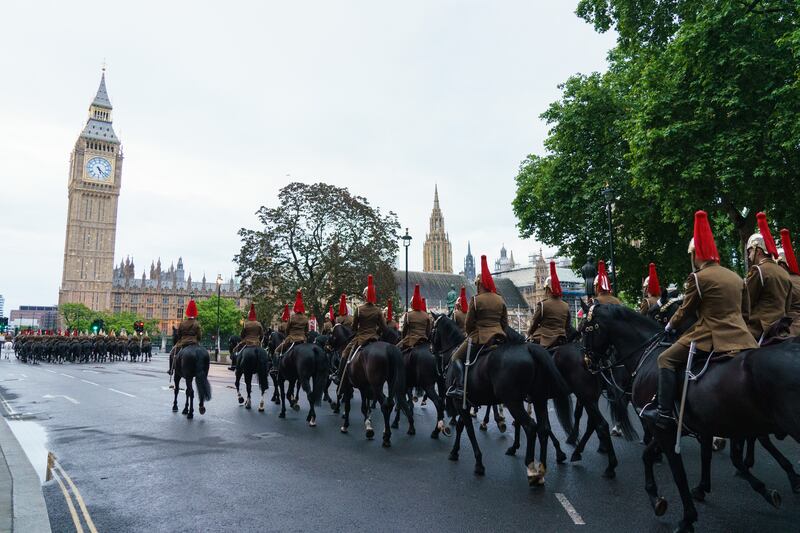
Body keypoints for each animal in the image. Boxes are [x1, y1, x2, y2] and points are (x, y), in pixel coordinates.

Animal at [434, 312, 572, 482]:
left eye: (432, 328)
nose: (432, 350)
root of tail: (529, 348)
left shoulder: (459, 402)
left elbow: (469, 430)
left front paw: (478, 463)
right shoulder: (465, 402)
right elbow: (461, 427)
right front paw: (455, 451)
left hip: (512, 401)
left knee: (530, 426)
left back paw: (531, 467)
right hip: (537, 398)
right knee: (543, 428)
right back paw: (542, 468)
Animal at [580, 304, 800, 532]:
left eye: (586, 328)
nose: (586, 362)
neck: (647, 355)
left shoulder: (666, 431)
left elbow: (679, 474)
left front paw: (687, 518)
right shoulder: (683, 427)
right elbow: (655, 455)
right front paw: (660, 498)